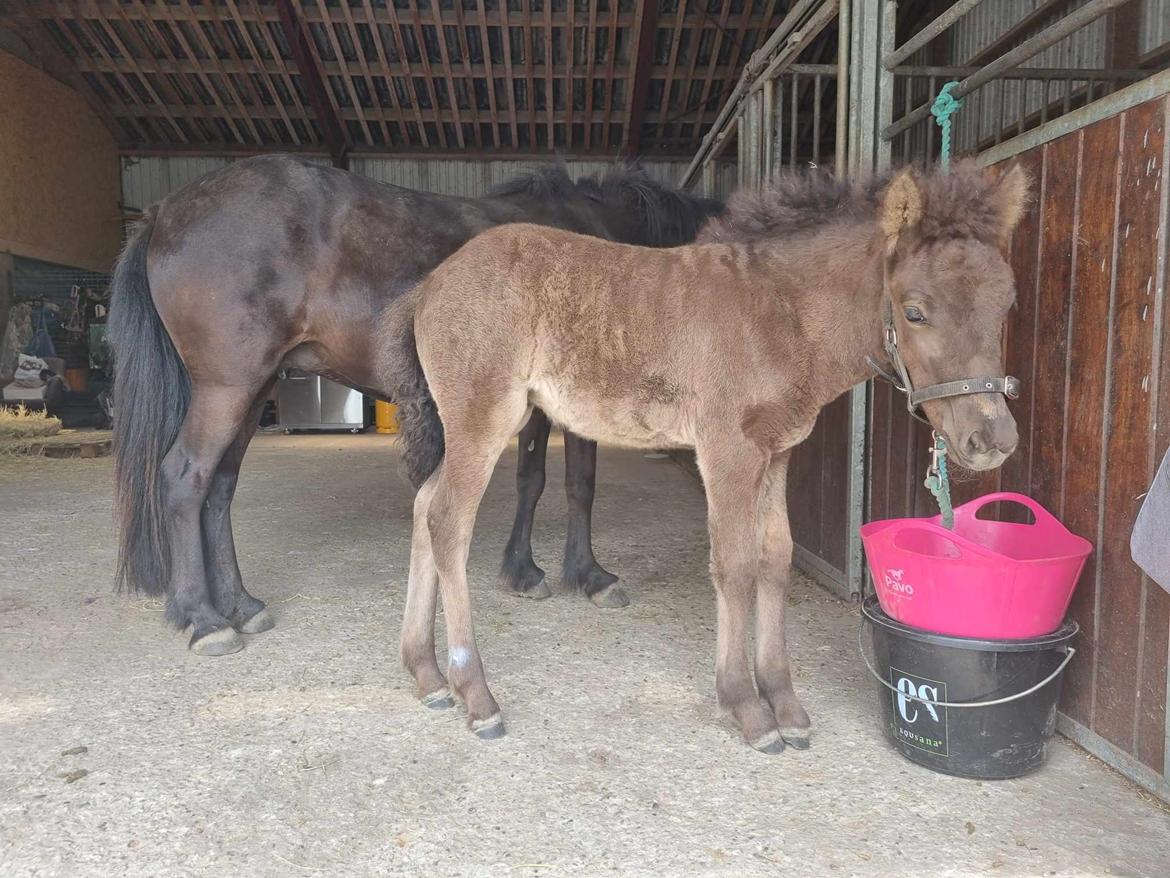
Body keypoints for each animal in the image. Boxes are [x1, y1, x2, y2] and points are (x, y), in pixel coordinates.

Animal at [109, 154, 716, 655]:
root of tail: (165, 212)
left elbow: (532, 479)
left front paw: (523, 571)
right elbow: (579, 485)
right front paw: (591, 576)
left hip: (253, 393)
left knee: (219, 489)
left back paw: (241, 606)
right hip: (226, 389)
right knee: (185, 478)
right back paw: (205, 620)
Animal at [388, 163, 1029, 749]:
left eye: (1007, 303)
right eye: (914, 311)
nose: (992, 439)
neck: (780, 314)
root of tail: (430, 285)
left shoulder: (776, 452)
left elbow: (775, 559)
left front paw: (786, 703)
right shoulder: (728, 450)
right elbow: (735, 564)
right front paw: (747, 705)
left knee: (423, 507)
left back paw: (426, 674)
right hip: (482, 420)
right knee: (448, 522)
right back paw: (476, 695)